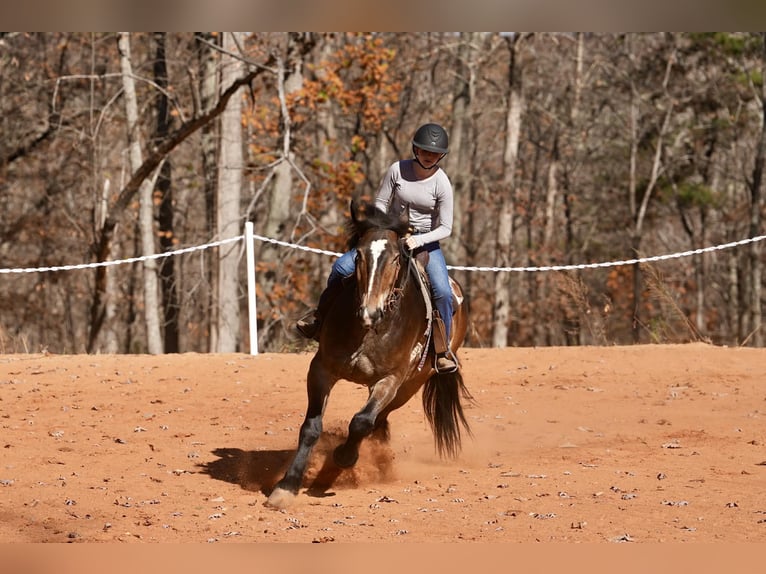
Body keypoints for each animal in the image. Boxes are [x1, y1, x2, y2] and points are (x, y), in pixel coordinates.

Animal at [266, 198, 472, 509]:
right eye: (358, 256)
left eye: (396, 258)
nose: (369, 311)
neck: (369, 330)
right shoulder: (321, 369)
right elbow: (311, 427)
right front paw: (286, 486)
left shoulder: (390, 380)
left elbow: (361, 422)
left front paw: (343, 457)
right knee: (379, 423)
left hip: (409, 386)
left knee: (377, 419)